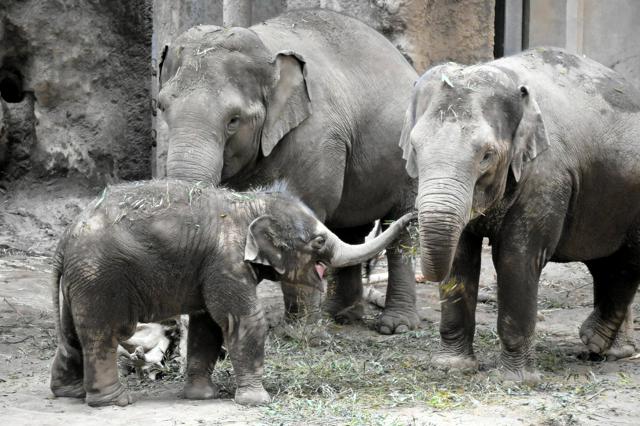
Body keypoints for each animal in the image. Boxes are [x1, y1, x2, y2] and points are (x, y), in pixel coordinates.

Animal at [48, 180, 410, 406]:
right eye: (319, 241)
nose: (409, 217)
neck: (248, 204)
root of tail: (64, 240)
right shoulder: (226, 261)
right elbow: (244, 320)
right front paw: (257, 401)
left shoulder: (208, 268)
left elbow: (206, 324)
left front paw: (201, 396)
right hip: (100, 278)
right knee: (104, 333)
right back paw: (115, 401)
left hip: (80, 281)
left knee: (71, 333)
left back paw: (69, 393)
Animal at [158, 7, 420, 332]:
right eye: (161, 108)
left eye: (234, 120)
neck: (267, 50)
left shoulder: (314, 138)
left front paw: (298, 331)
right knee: (351, 230)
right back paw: (341, 316)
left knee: (401, 227)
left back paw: (395, 326)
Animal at [400, 48, 640, 382]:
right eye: (414, 148)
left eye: (486, 156)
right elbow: (461, 254)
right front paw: (452, 366)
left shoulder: (546, 177)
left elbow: (516, 257)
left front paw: (515, 380)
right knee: (607, 262)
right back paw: (606, 350)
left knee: (627, 260)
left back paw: (593, 339)